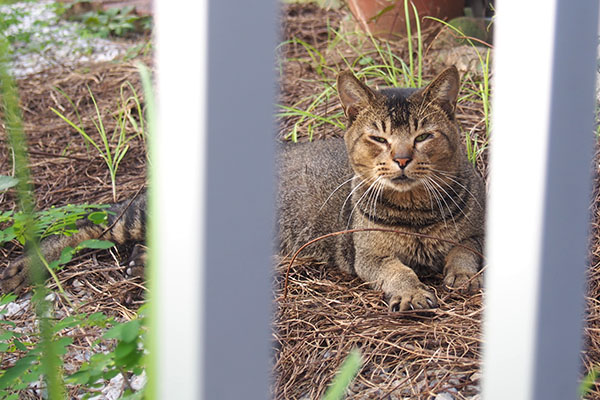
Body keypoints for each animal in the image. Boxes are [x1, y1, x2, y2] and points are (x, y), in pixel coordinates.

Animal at [278, 65, 486, 310]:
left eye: (423, 136)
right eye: (379, 139)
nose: (402, 159)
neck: (415, 214)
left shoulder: (479, 234)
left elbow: (463, 251)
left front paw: (464, 275)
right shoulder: (369, 256)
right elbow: (398, 271)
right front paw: (411, 293)